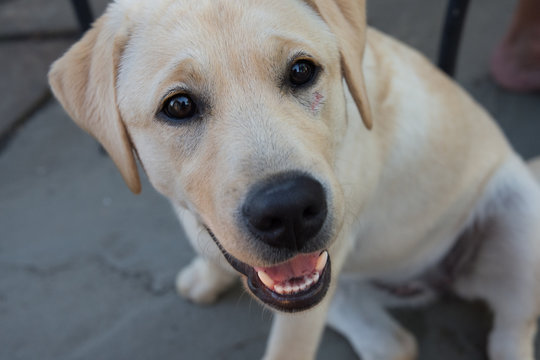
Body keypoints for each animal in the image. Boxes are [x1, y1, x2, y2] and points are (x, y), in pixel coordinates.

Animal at [48, 0, 536, 360]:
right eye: (179, 105)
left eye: (302, 71)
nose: (289, 211)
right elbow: (207, 246)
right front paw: (206, 276)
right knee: (394, 343)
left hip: (522, 216)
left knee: (509, 335)